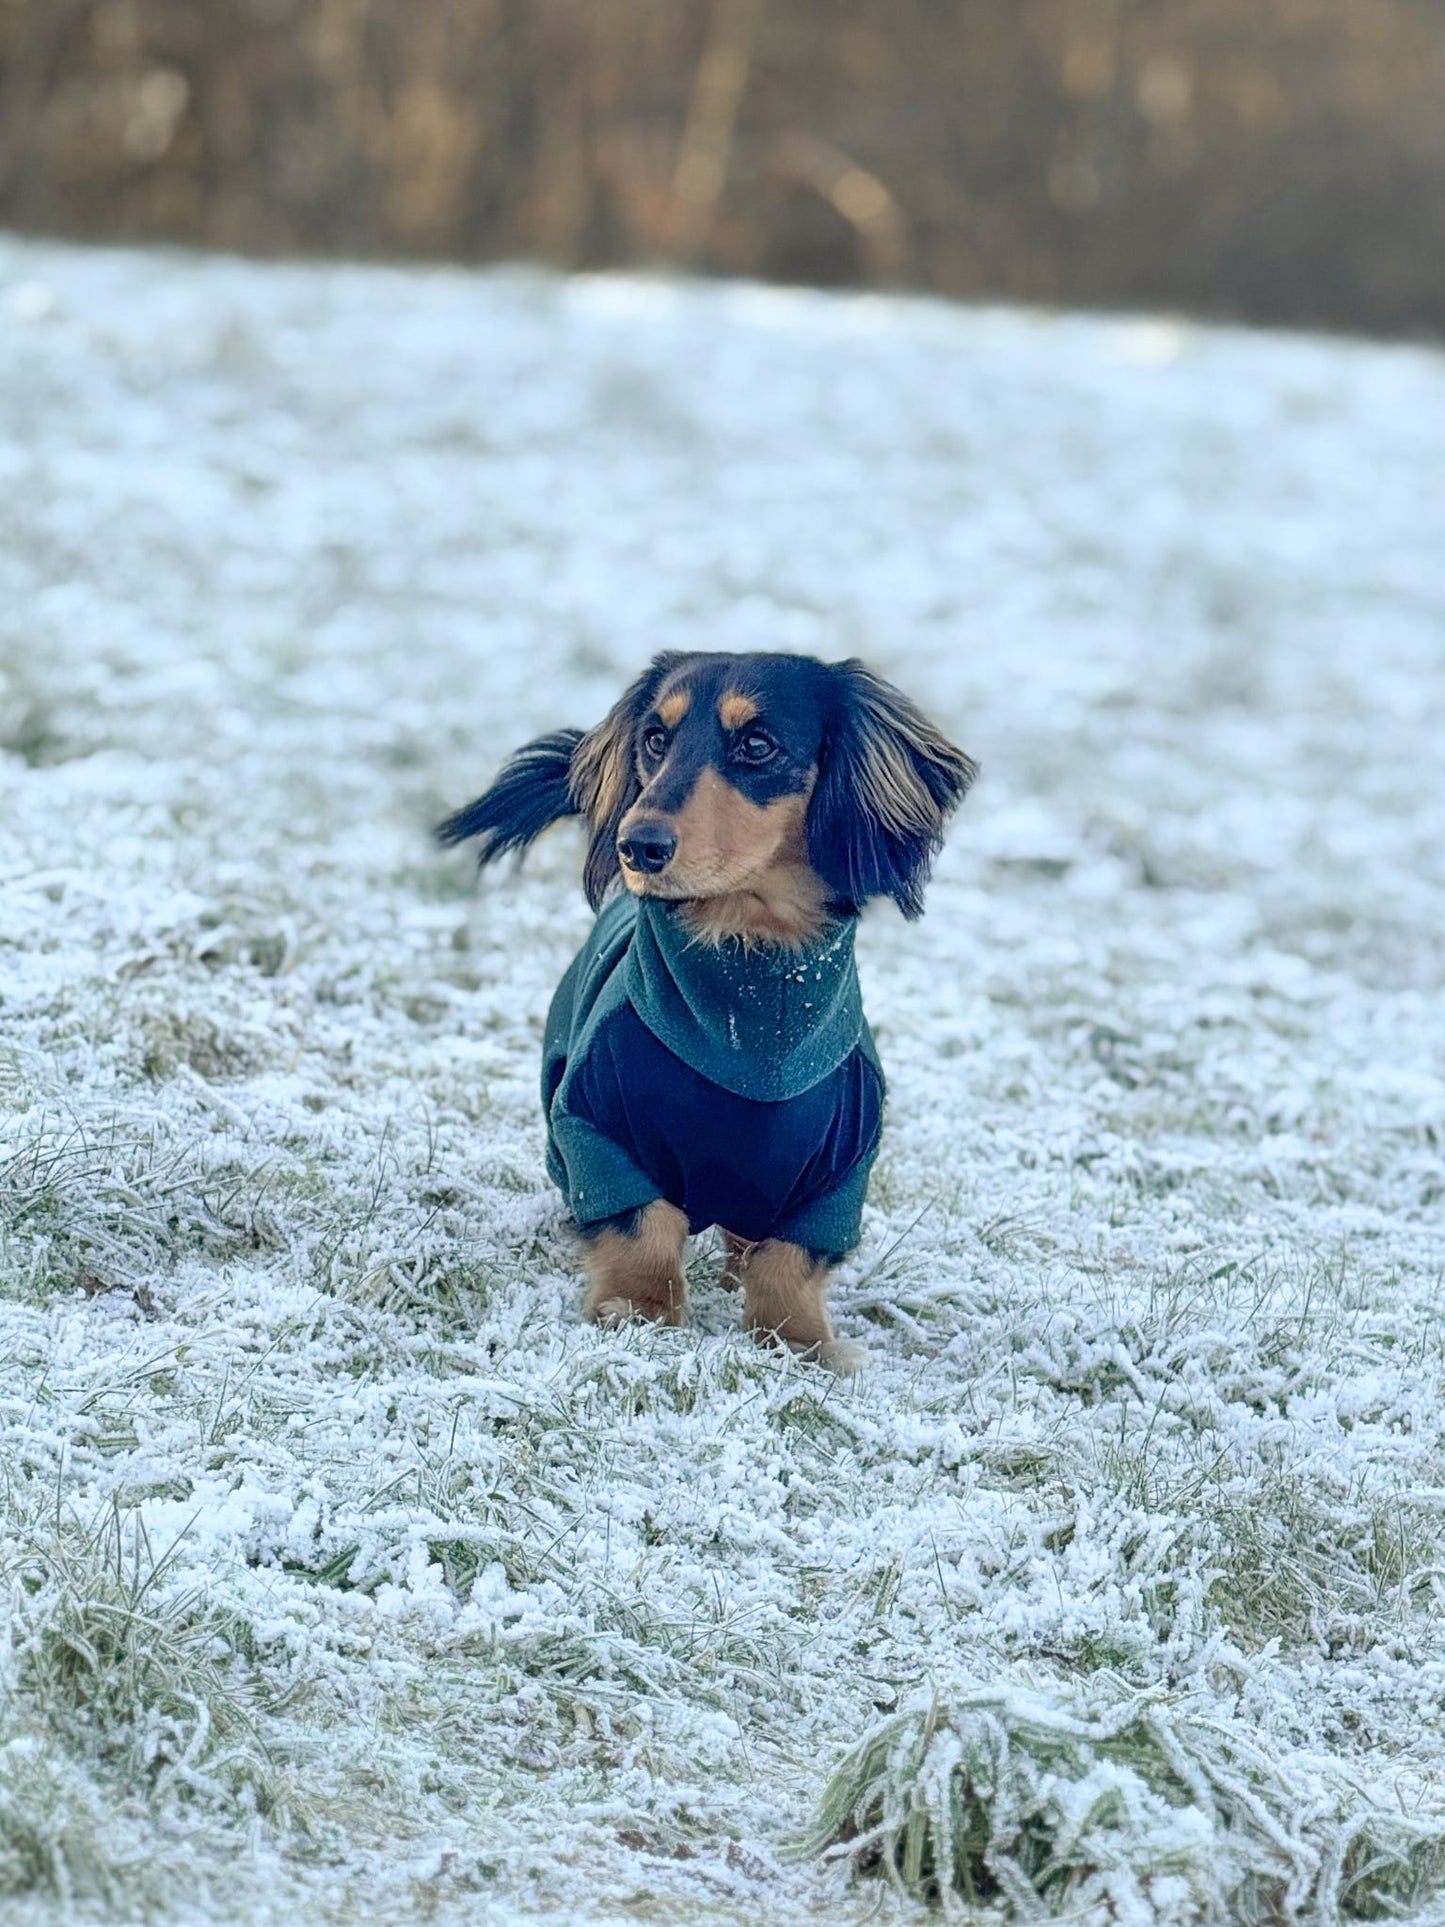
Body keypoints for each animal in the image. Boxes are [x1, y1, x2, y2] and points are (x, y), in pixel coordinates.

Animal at [435, 659, 978, 1372]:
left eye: (757, 745)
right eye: (655, 739)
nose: (638, 846)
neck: (750, 1002)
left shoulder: (844, 1165)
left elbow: (790, 1259)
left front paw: (802, 1343)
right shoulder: (595, 1123)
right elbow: (644, 1225)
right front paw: (639, 1312)